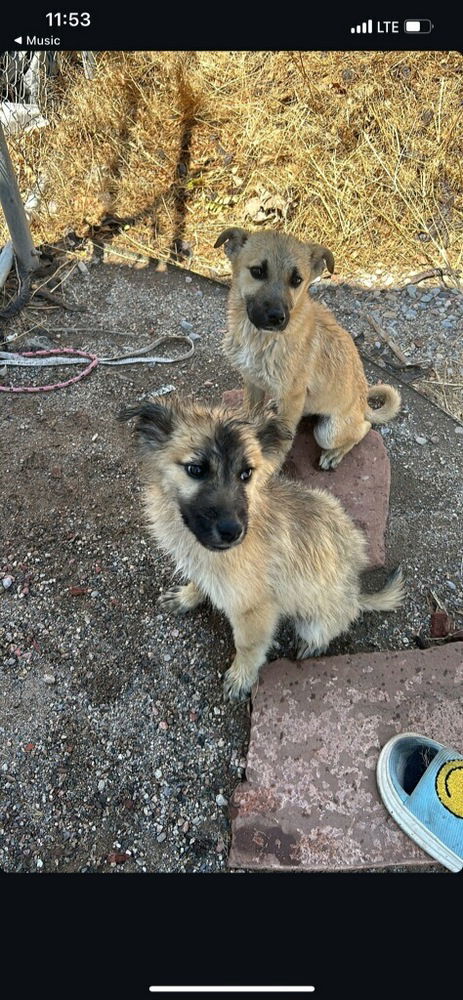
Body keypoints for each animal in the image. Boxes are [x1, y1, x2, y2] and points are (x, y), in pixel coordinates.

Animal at [120, 394, 406, 700]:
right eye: (196, 470)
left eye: (246, 473)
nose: (232, 532)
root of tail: (355, 595)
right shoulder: (205, 567)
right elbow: (200, 581)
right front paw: (188, 596)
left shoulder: (256, 611)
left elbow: (248, 647)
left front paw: (241, 678)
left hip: (315, 619)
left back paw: (313, 644)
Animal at [216, 229, 400, 470]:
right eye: (257, 271)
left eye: (297, 280)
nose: (277, 317)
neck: (260, 338)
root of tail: (362, 405)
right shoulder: (253, 382)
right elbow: (251, 414)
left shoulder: (292, 397)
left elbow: (282, 440)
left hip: (328, 432)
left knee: (364, 429)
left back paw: (335, 454)